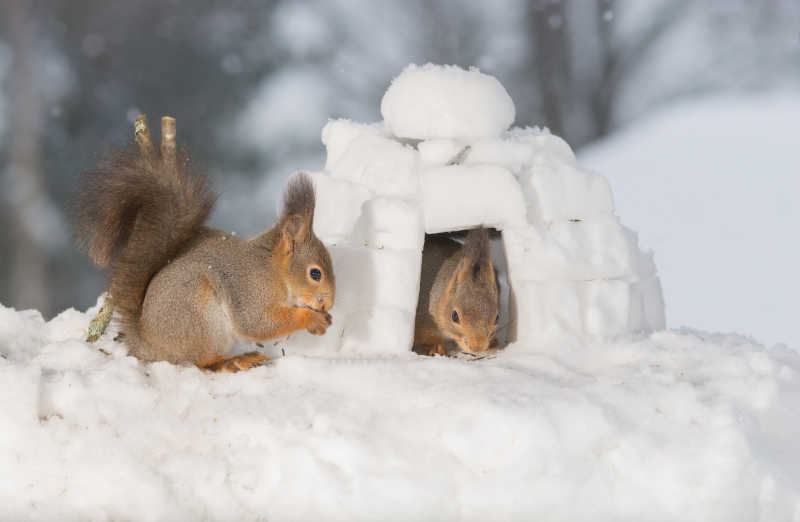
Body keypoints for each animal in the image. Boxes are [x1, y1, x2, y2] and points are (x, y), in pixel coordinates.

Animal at [75, 116, 334, 372]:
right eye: (315, 273)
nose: (330, 303)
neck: (273, 270)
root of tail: (147, 344)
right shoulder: (250, 290)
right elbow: (258, 323)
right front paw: (311, 319)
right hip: (199, 318)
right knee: (200, 360)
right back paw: (234, 360)